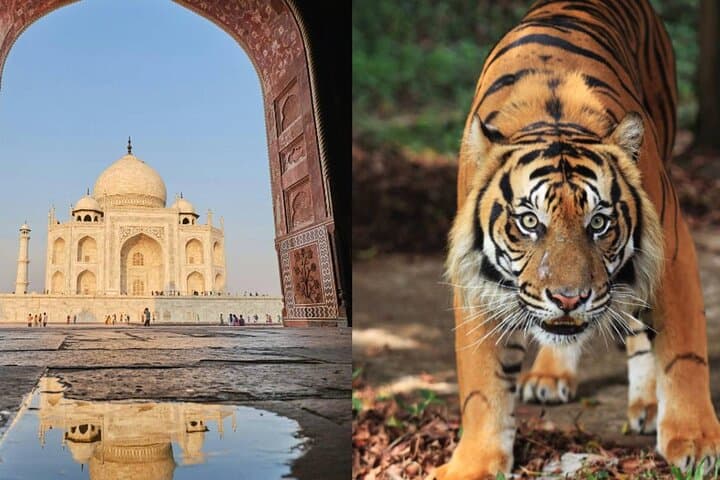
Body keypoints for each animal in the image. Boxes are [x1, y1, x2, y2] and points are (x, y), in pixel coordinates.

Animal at [434, 0, 720, 478]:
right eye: (529, 222)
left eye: (599, 223)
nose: (569, 298)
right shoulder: (475, 277)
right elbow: (481, 382)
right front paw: (473, 462)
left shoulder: (672, 253)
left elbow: (684, 355)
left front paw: (696, 443)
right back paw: (551, 376)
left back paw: (647, 404)